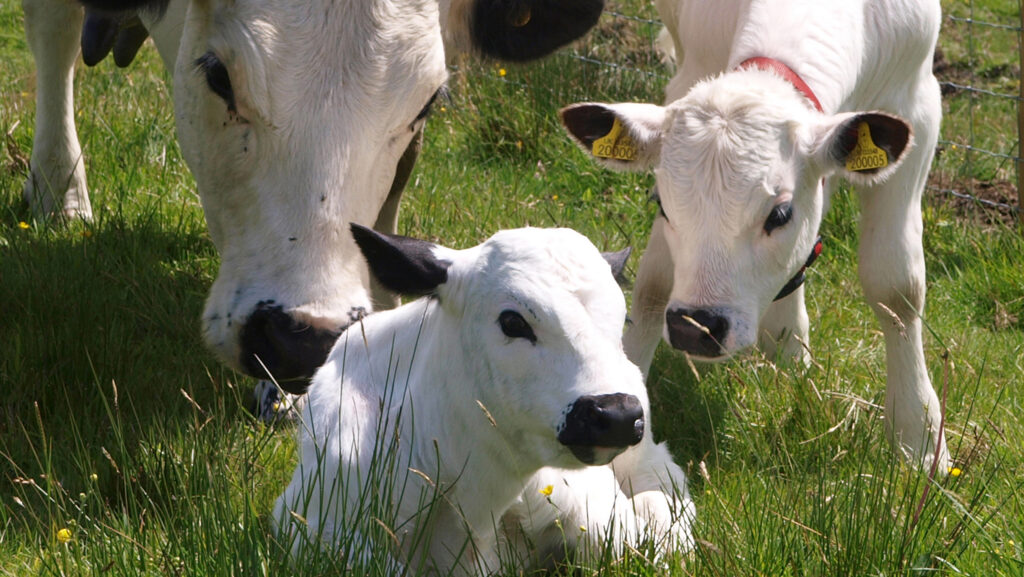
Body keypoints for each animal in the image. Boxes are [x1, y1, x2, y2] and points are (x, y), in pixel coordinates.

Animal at [559, 0, 949, 471]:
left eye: (779, 213)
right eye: (662, 204)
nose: (695, 328)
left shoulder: (916, 107)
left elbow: (896, 287)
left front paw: (919, 436)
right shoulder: (690, 76)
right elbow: (654, 283)